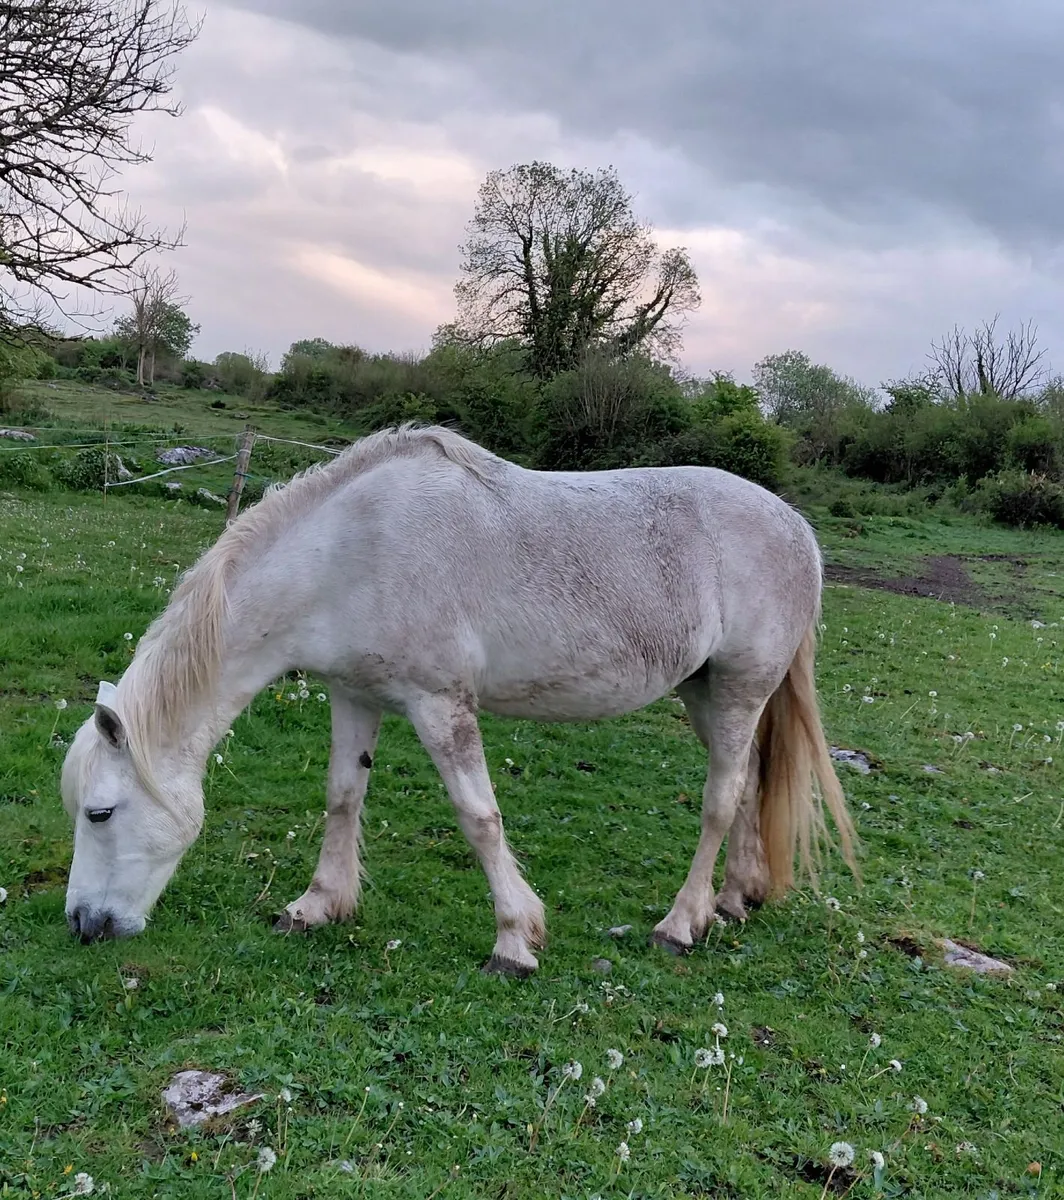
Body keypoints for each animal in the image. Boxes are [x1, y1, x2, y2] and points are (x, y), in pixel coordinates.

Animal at [61, 423, 856, 976]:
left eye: (100, 813)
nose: (83, 925)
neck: (350, 551)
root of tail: (798, 529)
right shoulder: (355, 694)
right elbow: (342, 797)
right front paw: (316, 906)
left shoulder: (439, 704)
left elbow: (479, 817)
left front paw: (514, 941)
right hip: (706, 691)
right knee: (748, 785)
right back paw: (733, 901)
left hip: (740, 688)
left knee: (721, 798)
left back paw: (681, 923)